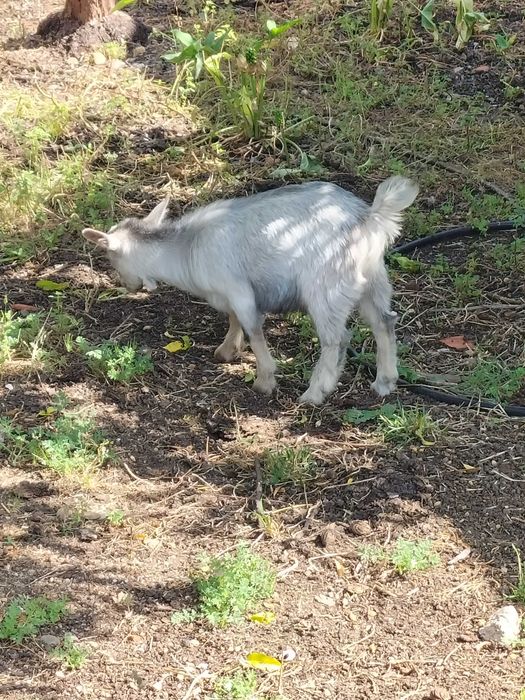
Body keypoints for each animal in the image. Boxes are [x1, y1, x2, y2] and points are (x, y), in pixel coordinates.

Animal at [82, 176, 418, 405]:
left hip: (326, 287)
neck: (187, 247)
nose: (127, 285)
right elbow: (233, 320)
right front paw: (227, 351)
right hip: (373, 279)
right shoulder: (230, 294)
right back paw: (385, 382)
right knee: (385, 321)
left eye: (110, 256)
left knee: (337, 339)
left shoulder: (239, 290)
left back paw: (315, 392)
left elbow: (254, 330)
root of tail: (368, 218)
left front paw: (264, 380)